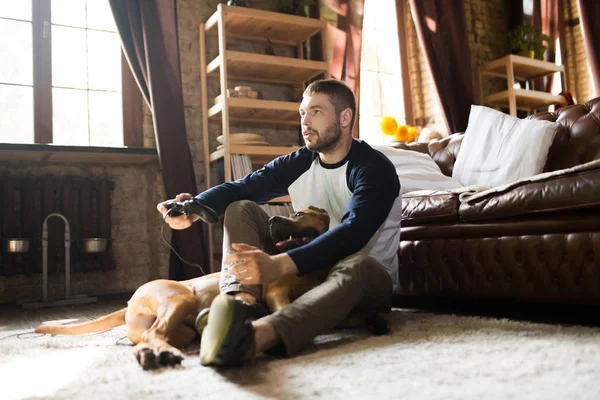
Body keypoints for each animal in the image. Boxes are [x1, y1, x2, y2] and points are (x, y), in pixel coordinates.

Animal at [36, 208, 390, 370]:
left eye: (299, 214)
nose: (273, 219)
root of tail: (129, 302)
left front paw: (377, 318)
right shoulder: (277, 293)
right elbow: (285, 306)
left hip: (183, 329)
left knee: (153, 336)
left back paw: (153, 352)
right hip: (177, 299)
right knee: (154, 333)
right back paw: (161, 353)